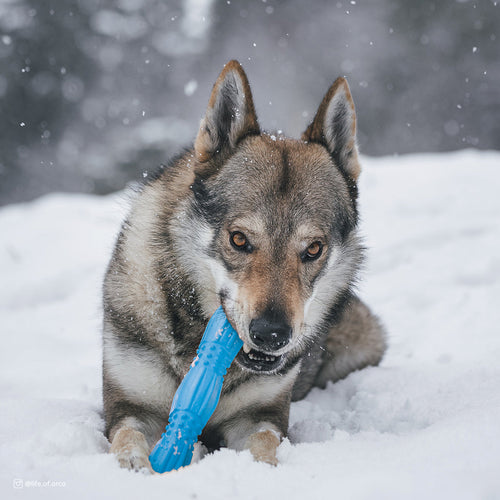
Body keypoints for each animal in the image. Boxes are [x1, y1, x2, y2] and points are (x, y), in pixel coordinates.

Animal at [102, 60, 386, 470]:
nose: (271, 334)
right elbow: (128, 438)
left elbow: (263, 447)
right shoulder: (127, 407)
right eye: (239, 239)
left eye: (314, 249)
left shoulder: (259, 416)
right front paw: (137, 467)